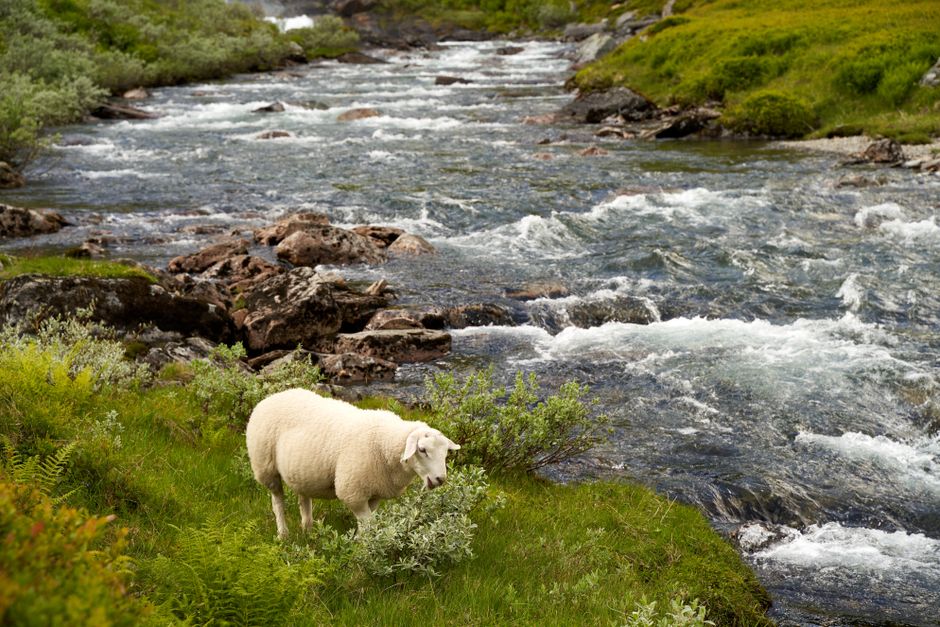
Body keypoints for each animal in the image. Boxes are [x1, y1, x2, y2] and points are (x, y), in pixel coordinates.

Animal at [245, 388, 460, 539]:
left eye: (445, 453)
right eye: (422, 450)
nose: (440, 479)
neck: (384, 441)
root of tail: (272, 396)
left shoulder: (374, 494)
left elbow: (368, 525)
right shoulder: (353, 492)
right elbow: (368, 526)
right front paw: (364, 552)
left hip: (299, 470)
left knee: (303, 498)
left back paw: (308, 529)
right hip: (266, 467)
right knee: (277, 501)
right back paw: (283, 534)